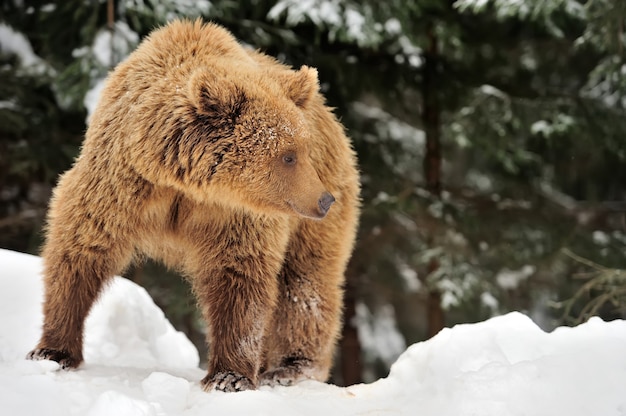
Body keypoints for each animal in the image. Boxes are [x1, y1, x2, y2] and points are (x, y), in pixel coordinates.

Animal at [28, 18, 360, 390]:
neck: (184, 183)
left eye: (303, 149)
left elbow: (239, 276)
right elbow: (81, 249)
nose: (324, 199)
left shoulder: (234, 215)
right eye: (288, 156)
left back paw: (291, 368)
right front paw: (52, 350)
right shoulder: (121, 186)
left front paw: (230, 376)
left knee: (305, 285)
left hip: (315, 220)